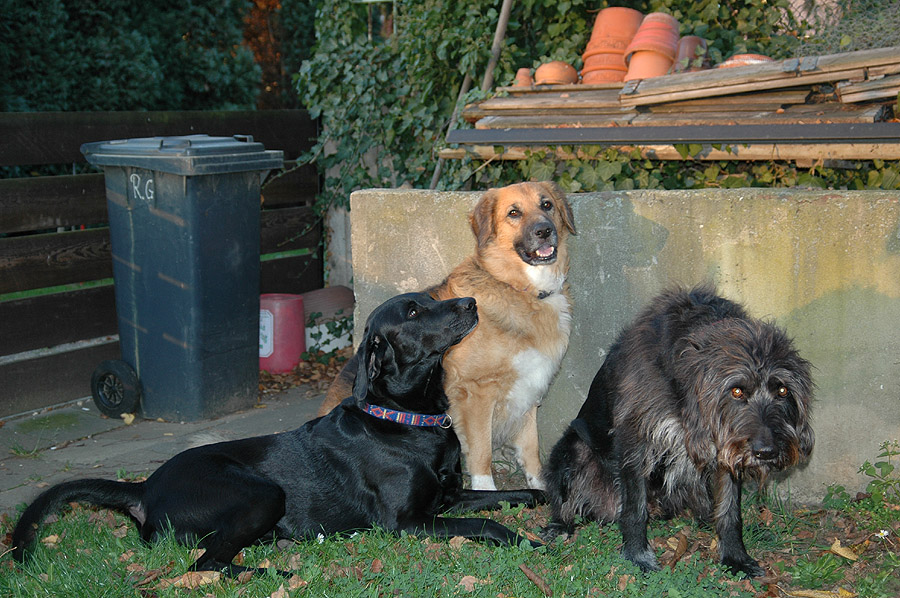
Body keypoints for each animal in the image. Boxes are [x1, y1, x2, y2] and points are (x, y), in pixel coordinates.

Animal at [14, 294, 540, 576]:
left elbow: (512, 495)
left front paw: (543, 500)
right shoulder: (408, 522)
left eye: (429, 301)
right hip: (261, 493)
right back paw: (275, 569)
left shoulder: (449, 499)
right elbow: (488, 525)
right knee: (205, 563)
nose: (471, 302)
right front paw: (531, 543)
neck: (408, 420)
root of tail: (143, 488)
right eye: (413, 312)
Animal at [320, 182, 572, 492]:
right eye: (514, 213)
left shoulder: (529, 389)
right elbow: (481, 453)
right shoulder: (477, 394)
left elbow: (531, 452)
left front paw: (541, 489)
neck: (518, 288)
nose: (544, 230)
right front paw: (485, 489)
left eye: (547, 205)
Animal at [540, 288, 816, 580]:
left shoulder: (724, 449)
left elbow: (730, 511)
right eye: (737, 391)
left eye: (783, 390)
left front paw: (735, 557)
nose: (767, 452)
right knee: (565, 500)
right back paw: (560, 525)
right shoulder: (635, 438)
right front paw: (637, 556)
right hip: (572, 450)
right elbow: (635, 509)